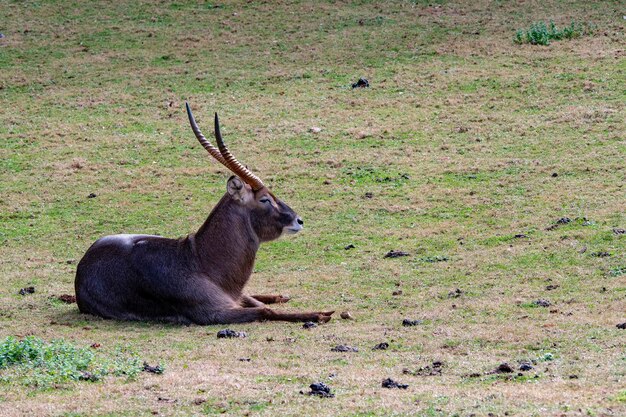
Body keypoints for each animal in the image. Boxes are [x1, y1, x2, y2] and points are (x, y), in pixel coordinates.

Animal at [74, 104, 332, 324]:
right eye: (265, 199)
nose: (298, 220)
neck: (201, 261)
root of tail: (83, 264)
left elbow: (259, 303)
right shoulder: (216, 312)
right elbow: (265, 311)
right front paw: (319, 314)